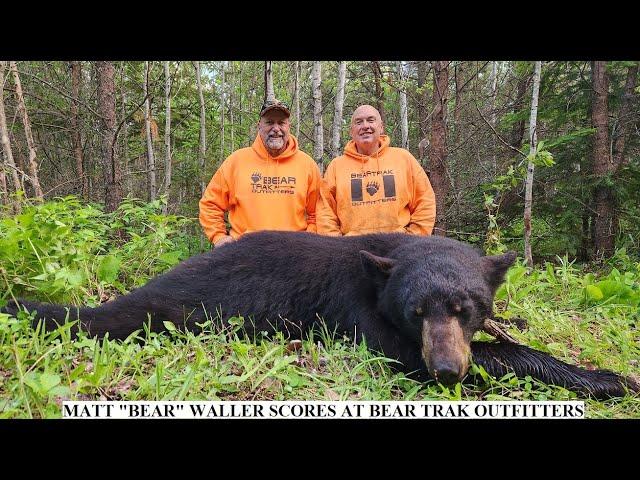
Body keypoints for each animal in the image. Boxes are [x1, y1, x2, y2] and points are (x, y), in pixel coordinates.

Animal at [2, 232, 636, 398]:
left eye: (466, 307)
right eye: (416, 311)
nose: (446, 372)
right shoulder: (358, 310)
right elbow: (403, 355)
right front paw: (606, 377)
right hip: (179, 310)